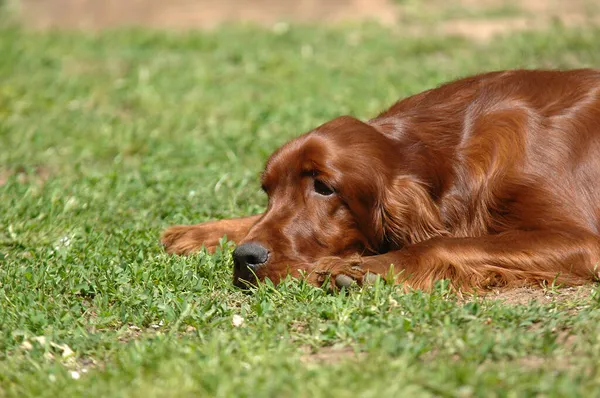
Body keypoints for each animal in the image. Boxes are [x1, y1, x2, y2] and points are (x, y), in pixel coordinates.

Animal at [161, 69, 600, 290]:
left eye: (324, 187)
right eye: (268, 190)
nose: (245, 258)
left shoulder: (582, 240)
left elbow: (440, 243)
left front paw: (360, 269)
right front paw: (198, 232)